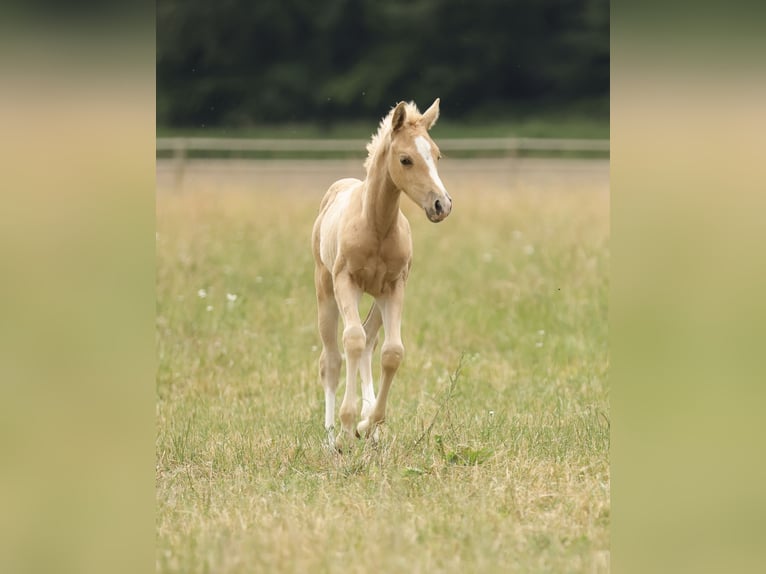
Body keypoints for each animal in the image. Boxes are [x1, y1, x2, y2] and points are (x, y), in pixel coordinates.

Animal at [311, 99, 453, 450]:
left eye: (437, 155)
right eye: (406, 159)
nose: (441, 205)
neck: (374, 225)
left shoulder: (394, 286)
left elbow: (391, 352)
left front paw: (369, 423)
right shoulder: (345, 282)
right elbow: (351, 341)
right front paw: (347, 427)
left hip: (376, 297)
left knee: (369, 341)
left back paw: (367, 426)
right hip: (325, 290)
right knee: (332, 358)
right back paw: (331, 436)